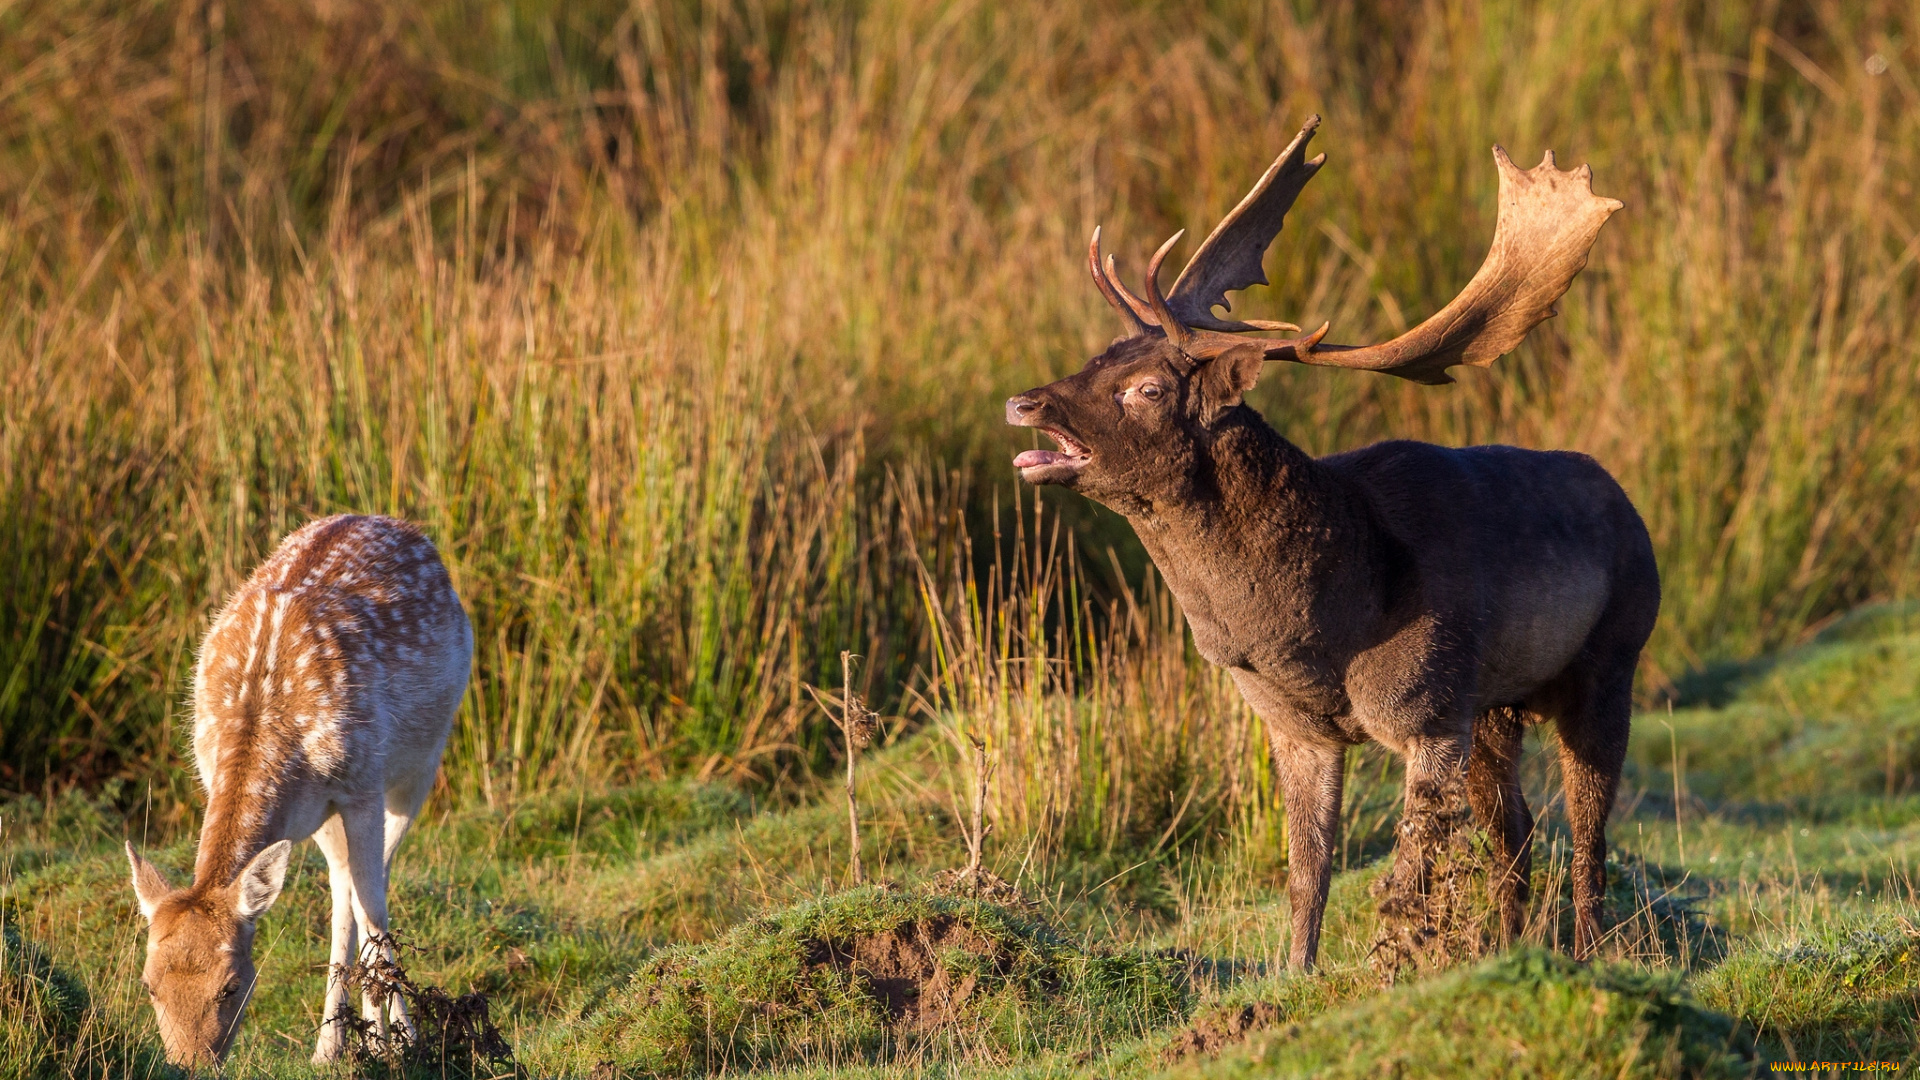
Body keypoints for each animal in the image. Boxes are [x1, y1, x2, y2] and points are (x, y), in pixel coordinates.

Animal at [126, 511, 468, 1060]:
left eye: (231, 984)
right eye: (149, 985)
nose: (189, 1065)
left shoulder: (362, 784)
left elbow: (375, 910)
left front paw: (397, 1045)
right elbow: (354, 899)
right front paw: (351, 1044)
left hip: (422, 763)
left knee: (371, 887)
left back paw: (383, 1037)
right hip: (318, 815)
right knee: (341, 886)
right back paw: (330, 1046)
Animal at [1013, 119, 1658, 968]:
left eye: (1146, 388)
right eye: (1097, 356)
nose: (1026, 402)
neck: (1324, 627)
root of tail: (1631, 506)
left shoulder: (1428, 709)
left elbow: (1410, 876)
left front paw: (1394, 970)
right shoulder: (1295, 726)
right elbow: (1306, 871)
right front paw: (1296, 973)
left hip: (1611, 661)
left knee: (1587, 835)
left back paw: (1587, 953)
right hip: (1496, 707)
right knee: (1516, 833)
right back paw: (1509, 948)